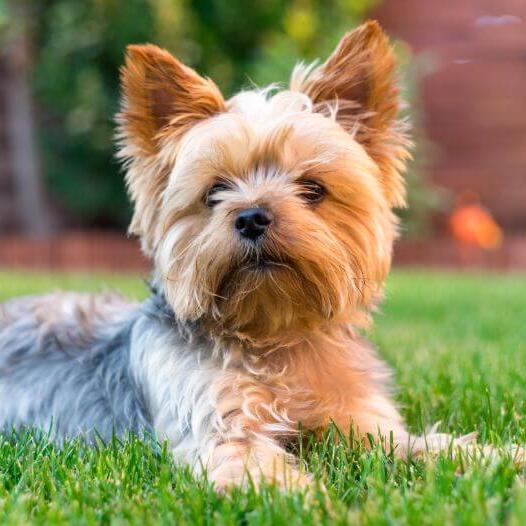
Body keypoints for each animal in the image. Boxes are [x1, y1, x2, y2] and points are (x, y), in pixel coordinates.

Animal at [0, 20, 516, 490]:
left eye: (313, 188)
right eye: (215, 192)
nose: (250, 217)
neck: (275, 335)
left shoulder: (362, 423)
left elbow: (414, 445)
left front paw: (496, 458)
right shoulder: (220, 423)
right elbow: (258, 470)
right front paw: (307, 502)